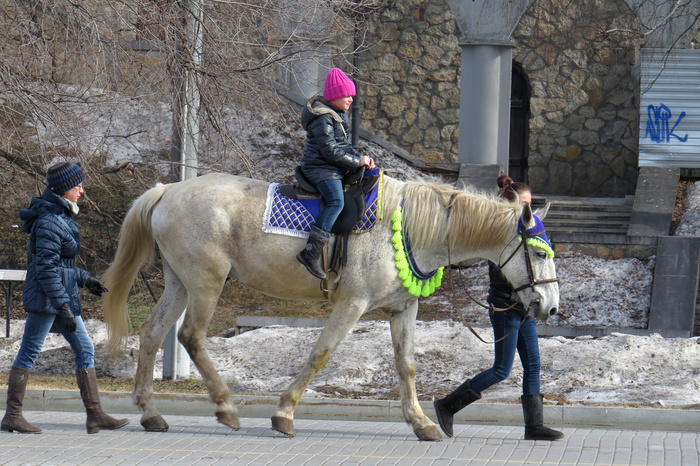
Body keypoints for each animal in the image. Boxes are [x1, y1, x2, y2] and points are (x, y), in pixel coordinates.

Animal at [101, 172, 556, 440]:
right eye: (540, 252)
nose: (549, 308)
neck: (410, 226)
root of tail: (167, 190)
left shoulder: (403, 309)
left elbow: (406, 365)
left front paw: (422, 421)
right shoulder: (352, 303)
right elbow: (321, 354)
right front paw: (284, 412)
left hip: (179, 282)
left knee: (152, 334)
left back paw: (150, 413)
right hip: (206, 282)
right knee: (191, 336)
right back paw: (225, 406)